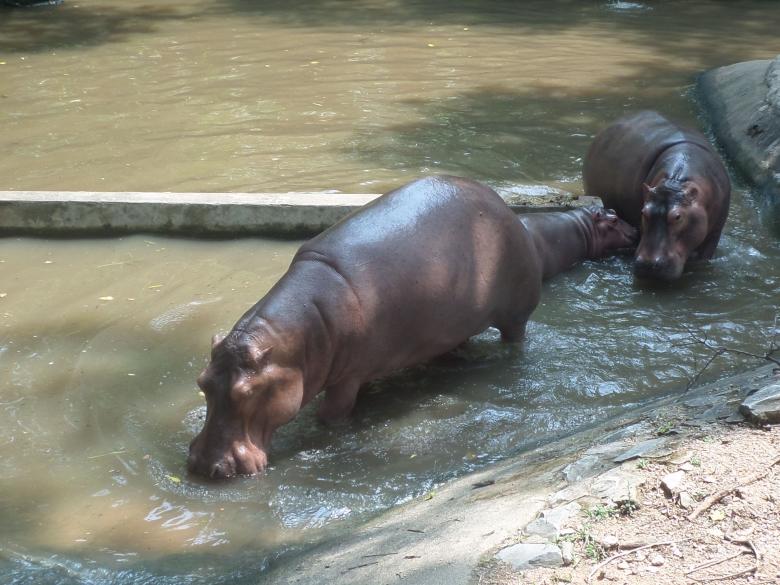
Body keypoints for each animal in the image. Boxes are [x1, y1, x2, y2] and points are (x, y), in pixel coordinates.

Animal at [187, 176, 636, 478]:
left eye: (246, 392)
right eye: (202, 382)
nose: (204, 466)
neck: (298, 339)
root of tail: (509, 212)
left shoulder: (347, 378)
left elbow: (332, 416)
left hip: (515, 315)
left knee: (516, 341)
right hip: (452, 325)